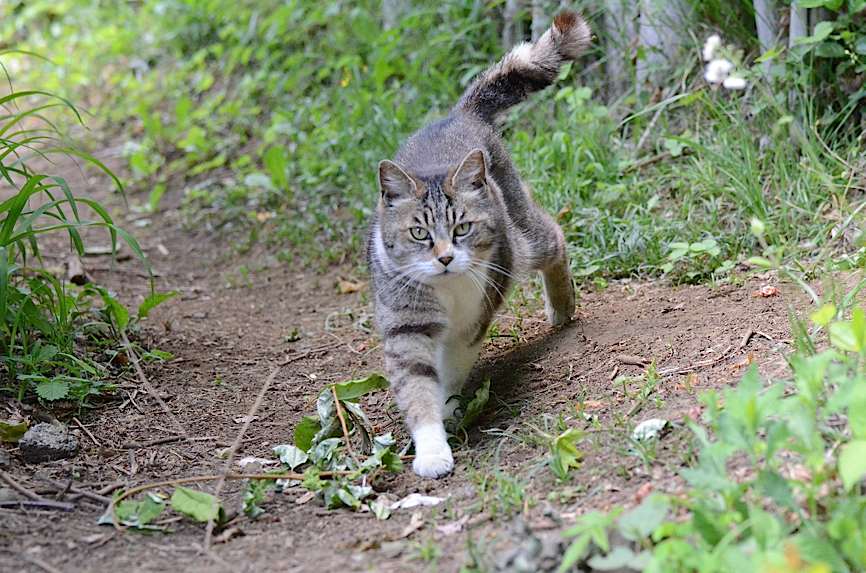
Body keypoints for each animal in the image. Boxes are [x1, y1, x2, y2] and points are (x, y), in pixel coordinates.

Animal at [366, 11, 592, 476]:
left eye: (462, 228)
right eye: (419, 233)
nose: (446, 258)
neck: (447, 291)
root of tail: (460, 114)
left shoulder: (471, 324)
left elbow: (451, 373)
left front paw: (451, 409)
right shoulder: (405, 326)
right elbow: (417, 387)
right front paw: (432, 449)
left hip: (520, 240)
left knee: (554, 237)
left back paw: (562, 306)